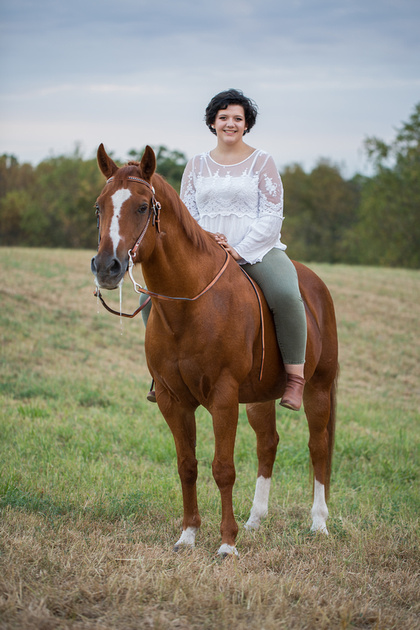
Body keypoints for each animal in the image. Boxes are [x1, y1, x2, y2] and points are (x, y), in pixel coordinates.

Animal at [91, 144, 338, 556]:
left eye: (142, 207)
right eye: (99, 207)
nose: (107, 267)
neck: (190, 306)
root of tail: (316, 285)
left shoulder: (223, 398)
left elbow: (223, 468)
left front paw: (227, 543)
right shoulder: (172, 400)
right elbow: (187, 465)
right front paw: (188, 535)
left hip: (318, 389)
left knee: (317, 447)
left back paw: (318, 524)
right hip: (259, 398)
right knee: (268, 445)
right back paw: (256, 519)